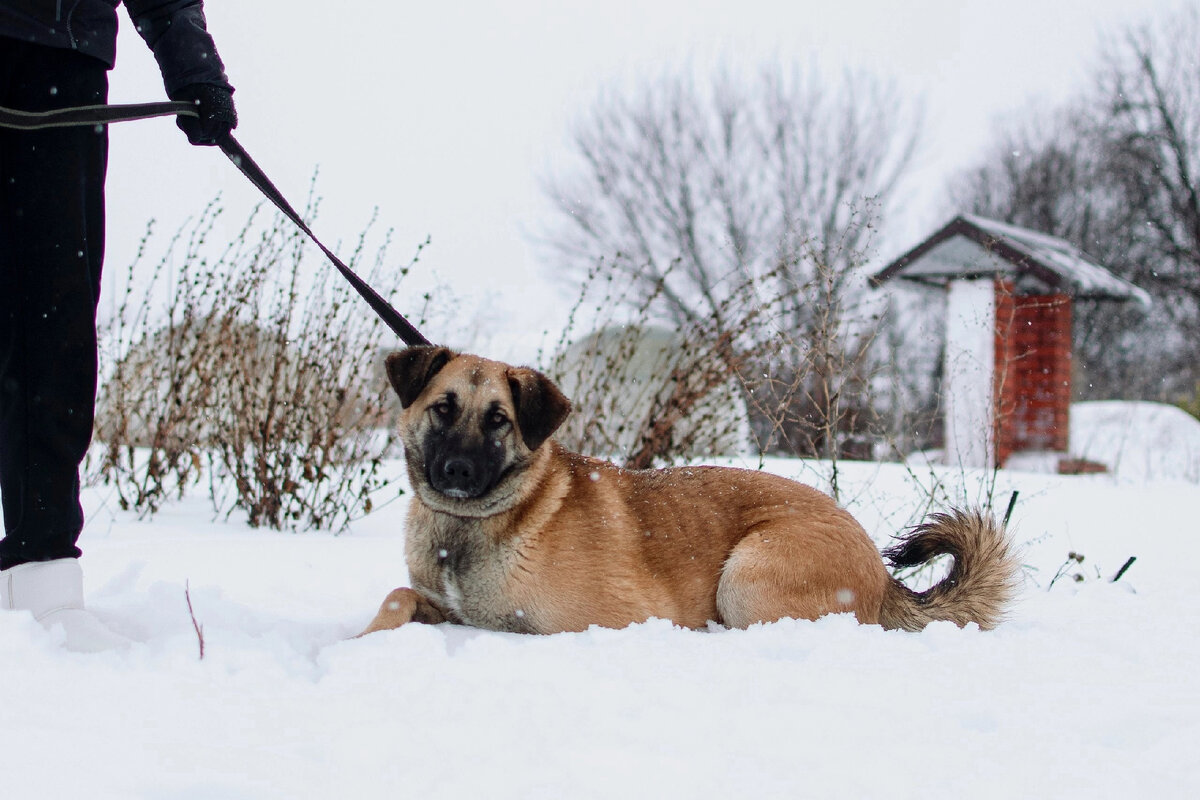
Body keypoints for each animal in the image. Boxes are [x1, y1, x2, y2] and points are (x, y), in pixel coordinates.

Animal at [360, 347, 1017, 633]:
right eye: (444, 409)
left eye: (498, 420)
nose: (457, 472)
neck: (472, 528)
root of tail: (882, 578)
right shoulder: (441, 603)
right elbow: (396, 595)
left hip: (748, 573)